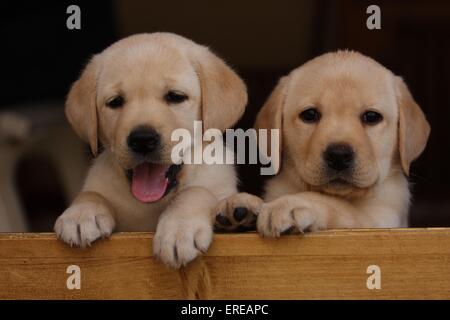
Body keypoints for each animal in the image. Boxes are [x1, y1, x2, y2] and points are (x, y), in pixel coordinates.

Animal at [55, 32, 250, 268]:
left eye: (175, 96)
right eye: (115, 101)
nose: (142, 140)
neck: (151, 204)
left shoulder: (218, 185)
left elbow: (196, 191)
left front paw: (178, 230)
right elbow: (91, 193)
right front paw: (81, 213)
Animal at [216, 50, 430, 235]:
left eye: (371, 117)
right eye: (310, 114)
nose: (339, 155)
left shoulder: (382, 220)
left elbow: (338, 206)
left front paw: (291, 204)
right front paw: (240, 204)